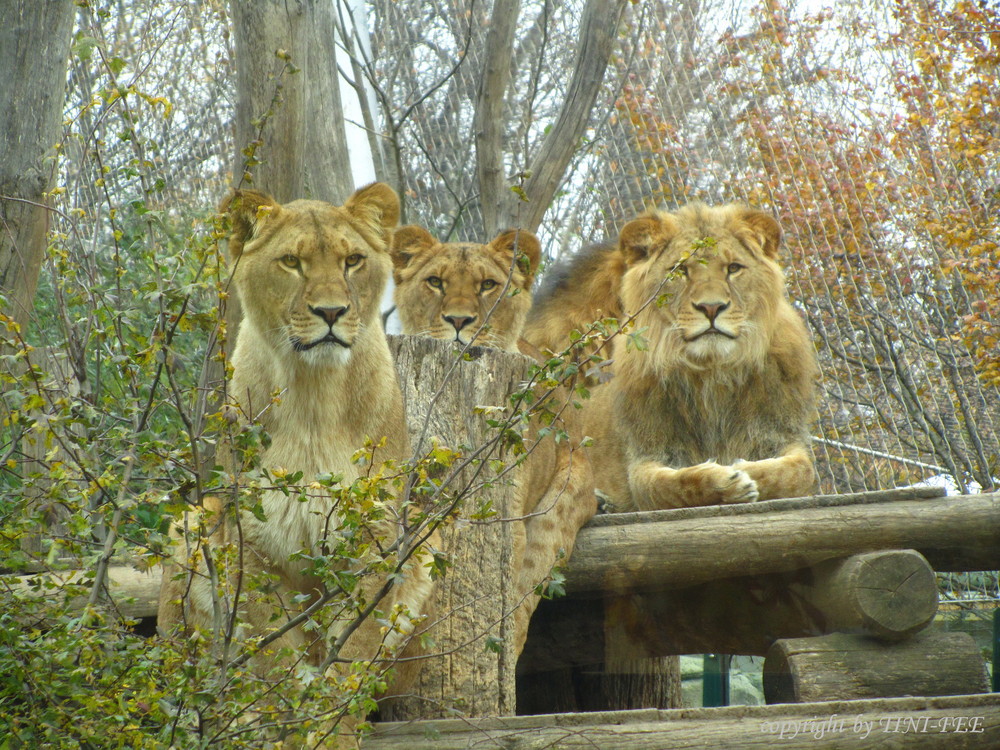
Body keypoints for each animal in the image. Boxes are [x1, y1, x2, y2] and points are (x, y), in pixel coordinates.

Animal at [159, 185, 434, 748]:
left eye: (352, 261)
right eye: (291, 262)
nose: (330, 312)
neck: (313, 395)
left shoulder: (372, 541)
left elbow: (350, 653)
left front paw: (329, 734)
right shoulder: (253, 543)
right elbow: (275, 655)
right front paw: (276, 728)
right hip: (193, 522)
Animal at [528, 203, 816, 516]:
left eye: (733, 268)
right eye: (680, 270)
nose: (711, 307)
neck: (712, 373)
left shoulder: (781, 434)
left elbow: (800, 471)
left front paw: (747, 469)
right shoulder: (645, 456)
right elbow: (665, 486)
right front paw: (724, 480)